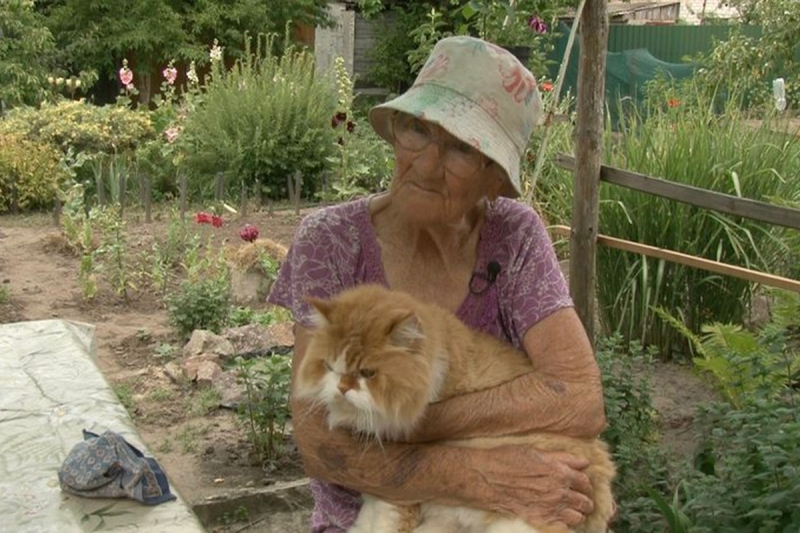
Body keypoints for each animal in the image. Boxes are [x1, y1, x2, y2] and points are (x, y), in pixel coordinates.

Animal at [296, 284, 616, 528]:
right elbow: (365, 522)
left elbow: (385, 524)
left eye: (368, 373)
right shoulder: (379, 490)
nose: (342, 387)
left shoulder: (398, 495)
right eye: (330, 367)